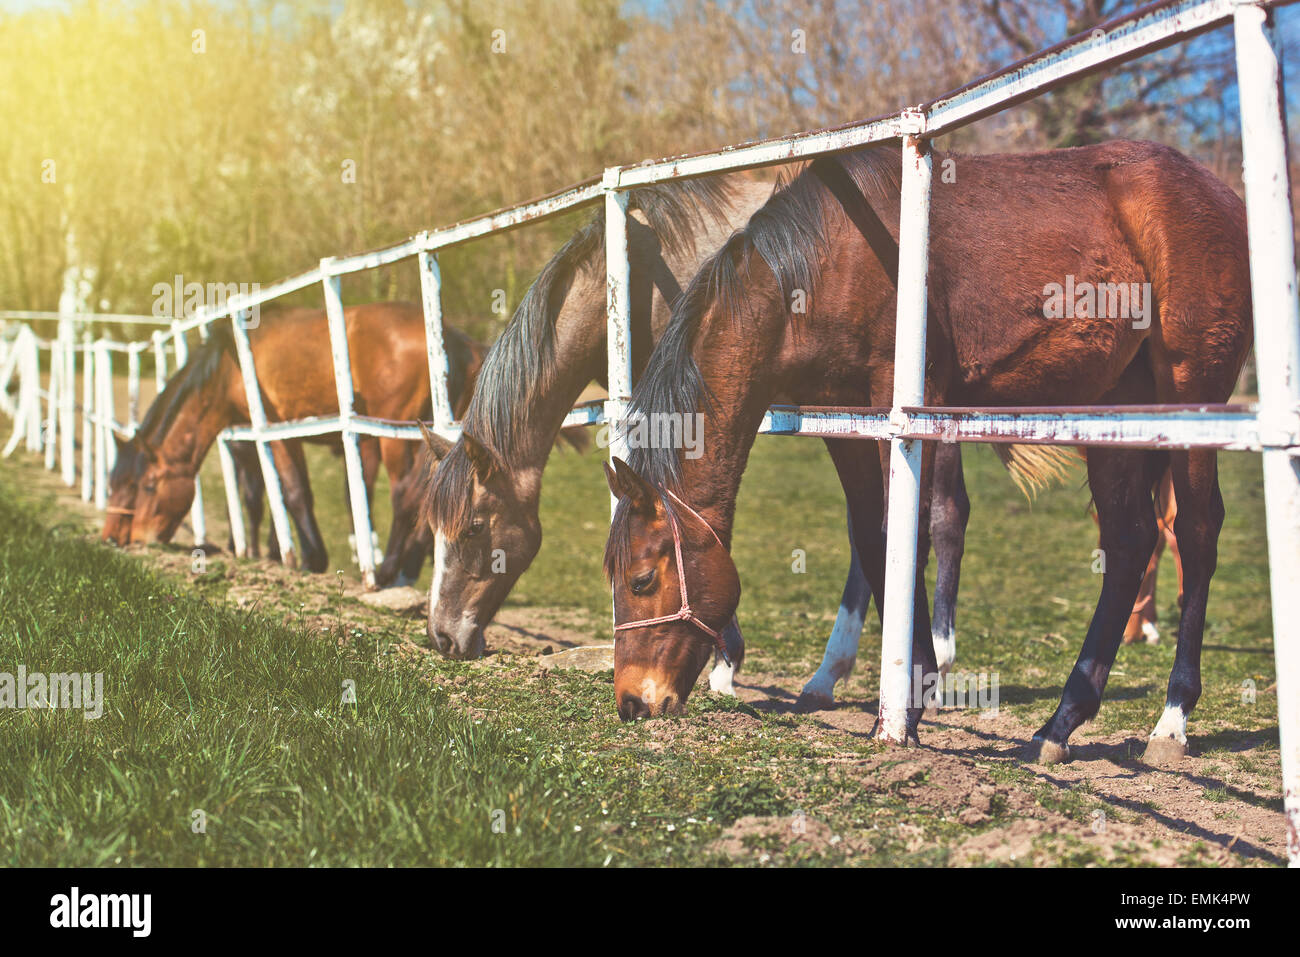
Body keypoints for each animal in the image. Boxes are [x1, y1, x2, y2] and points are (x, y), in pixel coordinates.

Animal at [102, 302, 488, 579]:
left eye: (146, 486)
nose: (115, 536)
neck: (231, 364)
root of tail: (458, 341)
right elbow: (282, 495)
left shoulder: (277, 433)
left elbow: (292, 492)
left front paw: (310, 558)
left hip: (396, 435)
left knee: (407, 494)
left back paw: (388, 570)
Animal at [603, 140, 1253, 769]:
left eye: (641, 579)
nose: (632, 701)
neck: (828, 258)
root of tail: (1224, 196)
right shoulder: (844, 418)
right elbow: (873, 540)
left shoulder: (907, 403)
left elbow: (904, 534)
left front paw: (908, 703)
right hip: (1119, 405)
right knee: (1129, 542)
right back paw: (1062, 721)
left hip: (1190, 393)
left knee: (1194, 533)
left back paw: (1172, 718)